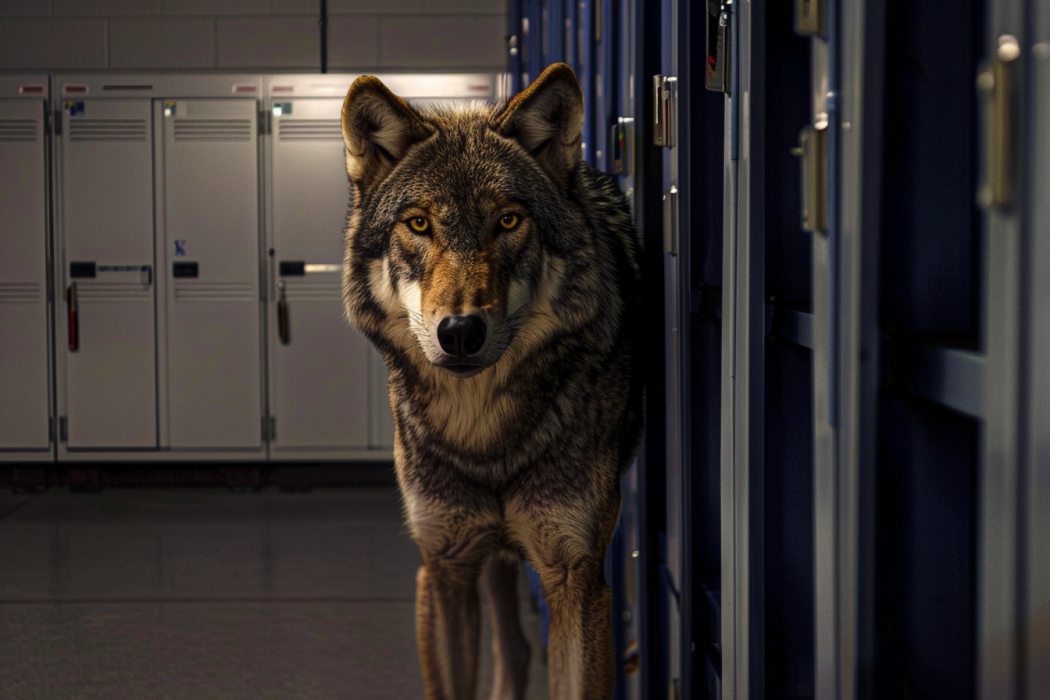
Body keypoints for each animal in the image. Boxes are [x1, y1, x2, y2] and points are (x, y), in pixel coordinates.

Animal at [340, 63, 643, 700]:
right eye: (419, 223)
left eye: (508, 220)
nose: (459, 332)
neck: (484, 437)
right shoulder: (444, 565)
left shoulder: (576, 577)